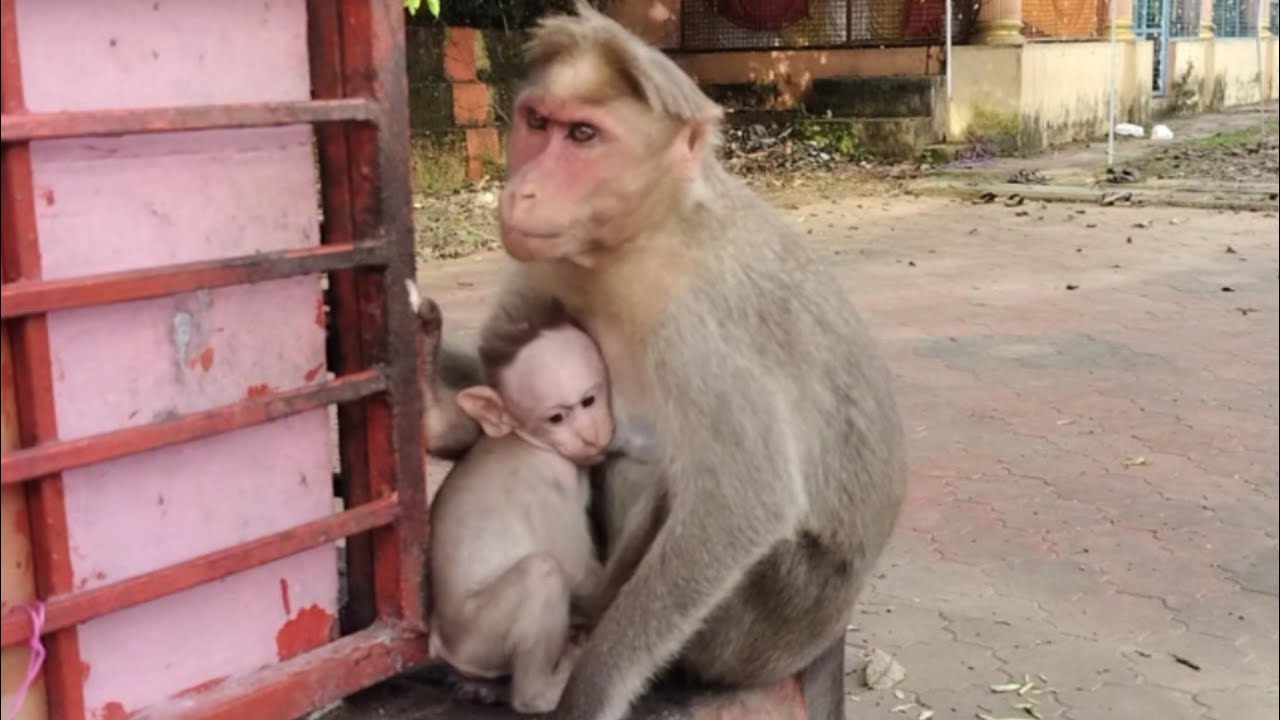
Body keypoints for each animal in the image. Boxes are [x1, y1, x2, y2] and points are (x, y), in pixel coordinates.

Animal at [406, 281, 615, 715]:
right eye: (557, 417)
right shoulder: (555, 484)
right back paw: (544, 689)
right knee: (543, 573)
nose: (589, 435)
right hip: (479, 634)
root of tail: (440, 641)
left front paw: (424, 346)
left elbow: (445, 433)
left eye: (588, 400)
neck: (530, 440)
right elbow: (577, 571)